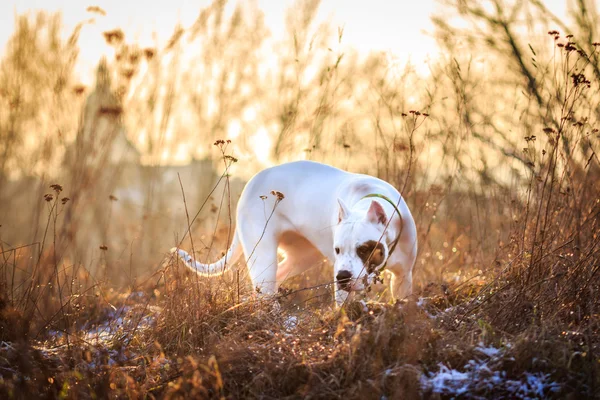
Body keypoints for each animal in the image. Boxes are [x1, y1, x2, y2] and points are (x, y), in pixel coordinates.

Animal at [172, 161, 418, 304]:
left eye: (364, 249)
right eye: (337, 250)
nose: (342, 277)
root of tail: (251, 183)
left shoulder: (403, 277)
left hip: (302, 256)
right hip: (263, 255)